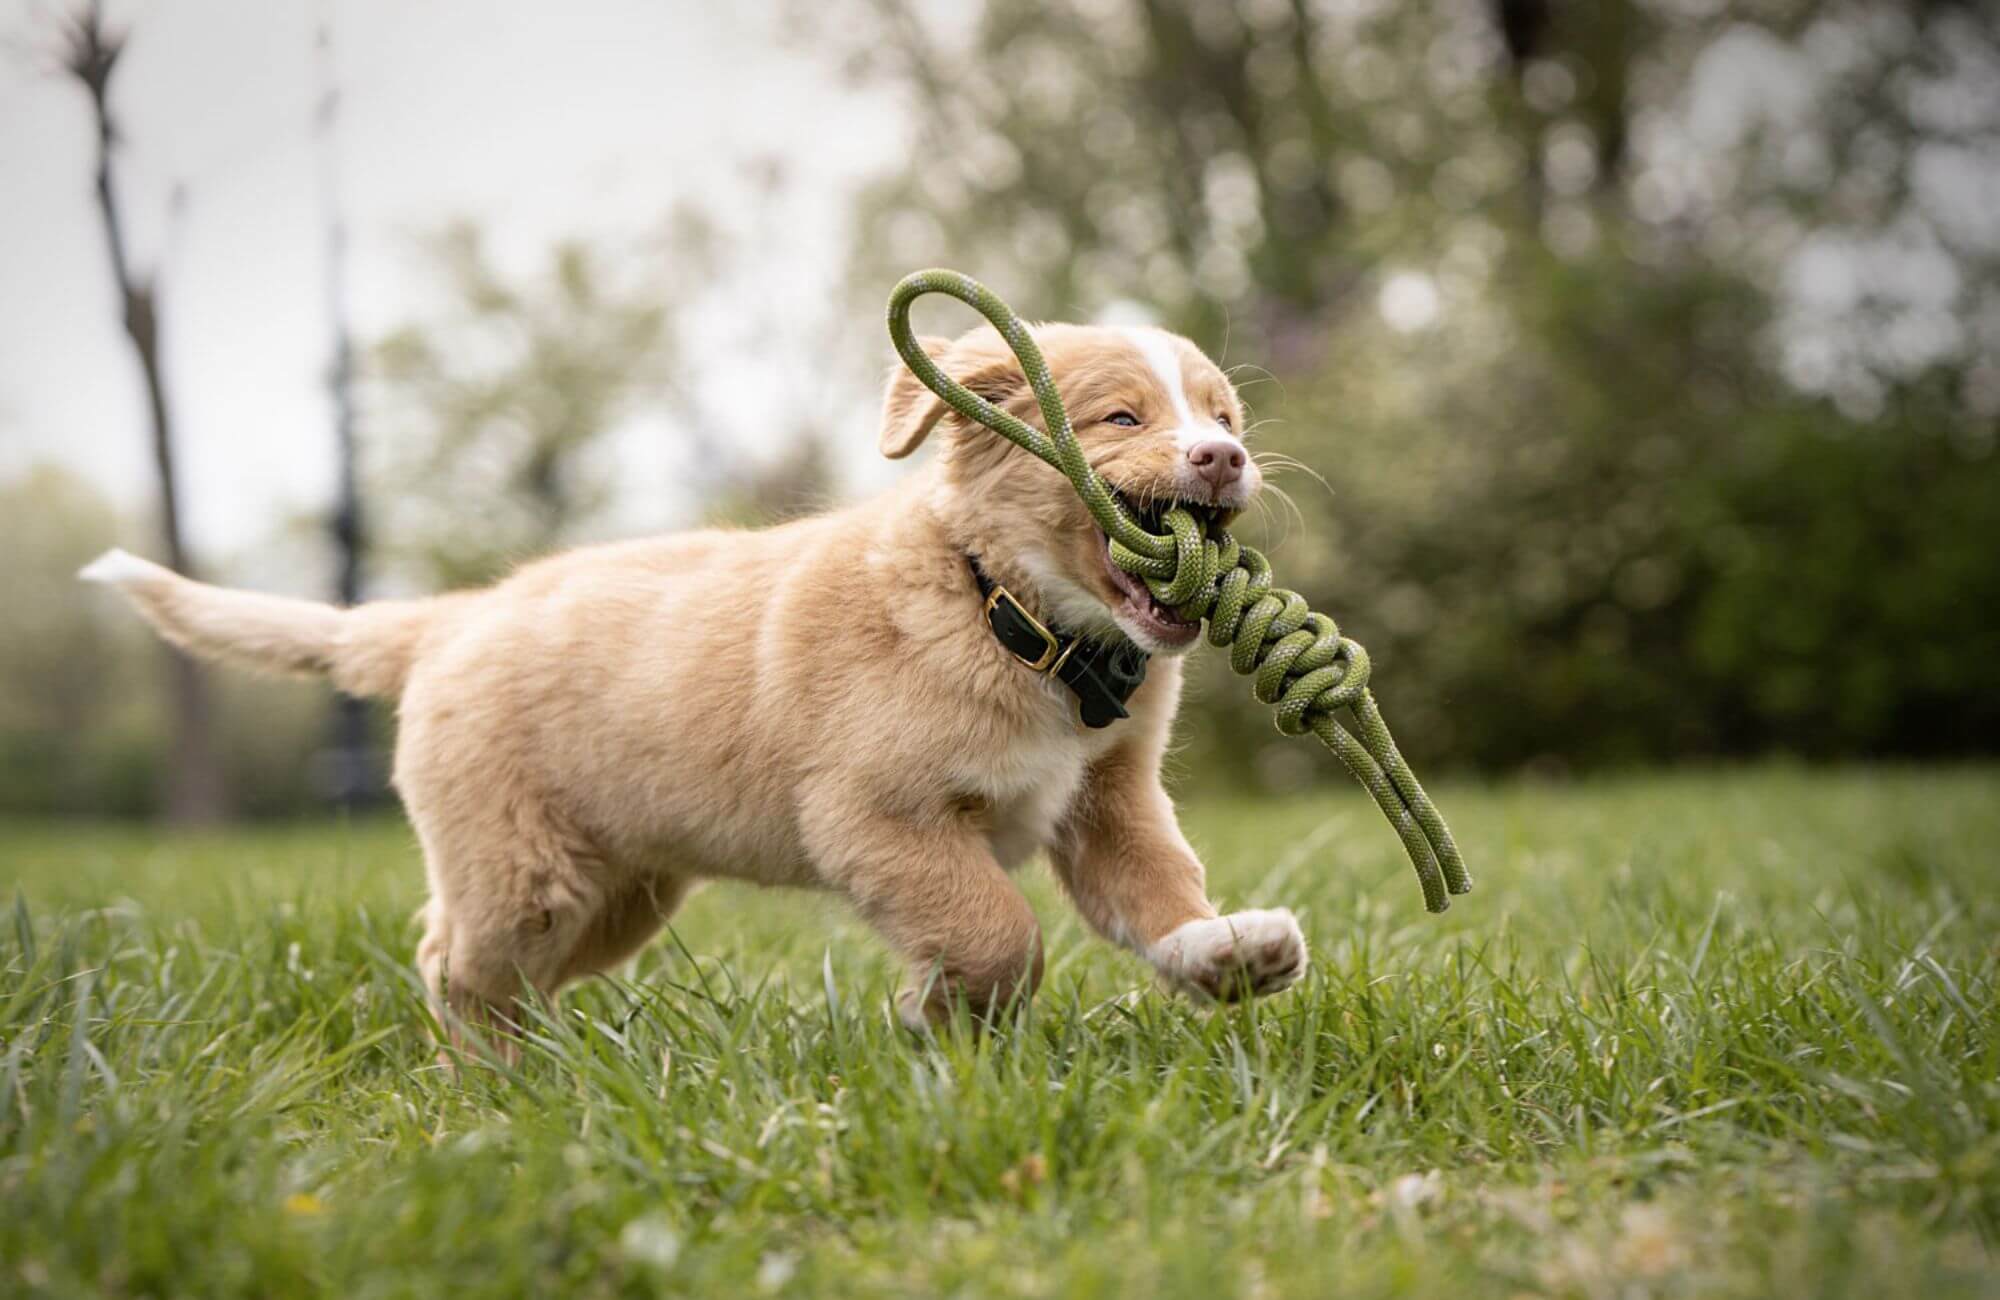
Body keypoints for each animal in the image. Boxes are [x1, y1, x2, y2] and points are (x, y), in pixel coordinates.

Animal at [86, 322, 1312, 1032]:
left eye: (1223, 416)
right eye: (1120, 417)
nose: (1223, 457)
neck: (1006, 612)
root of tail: (453, 616)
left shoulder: (1110, 804)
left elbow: (1157, 894)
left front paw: (1224, 955)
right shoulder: (878, 817)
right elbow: (994, 930)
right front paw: (937, 1011)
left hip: (622, 890)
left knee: (521, 980)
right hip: (520, 871)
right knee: (452, 963)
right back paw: (485, 1091)